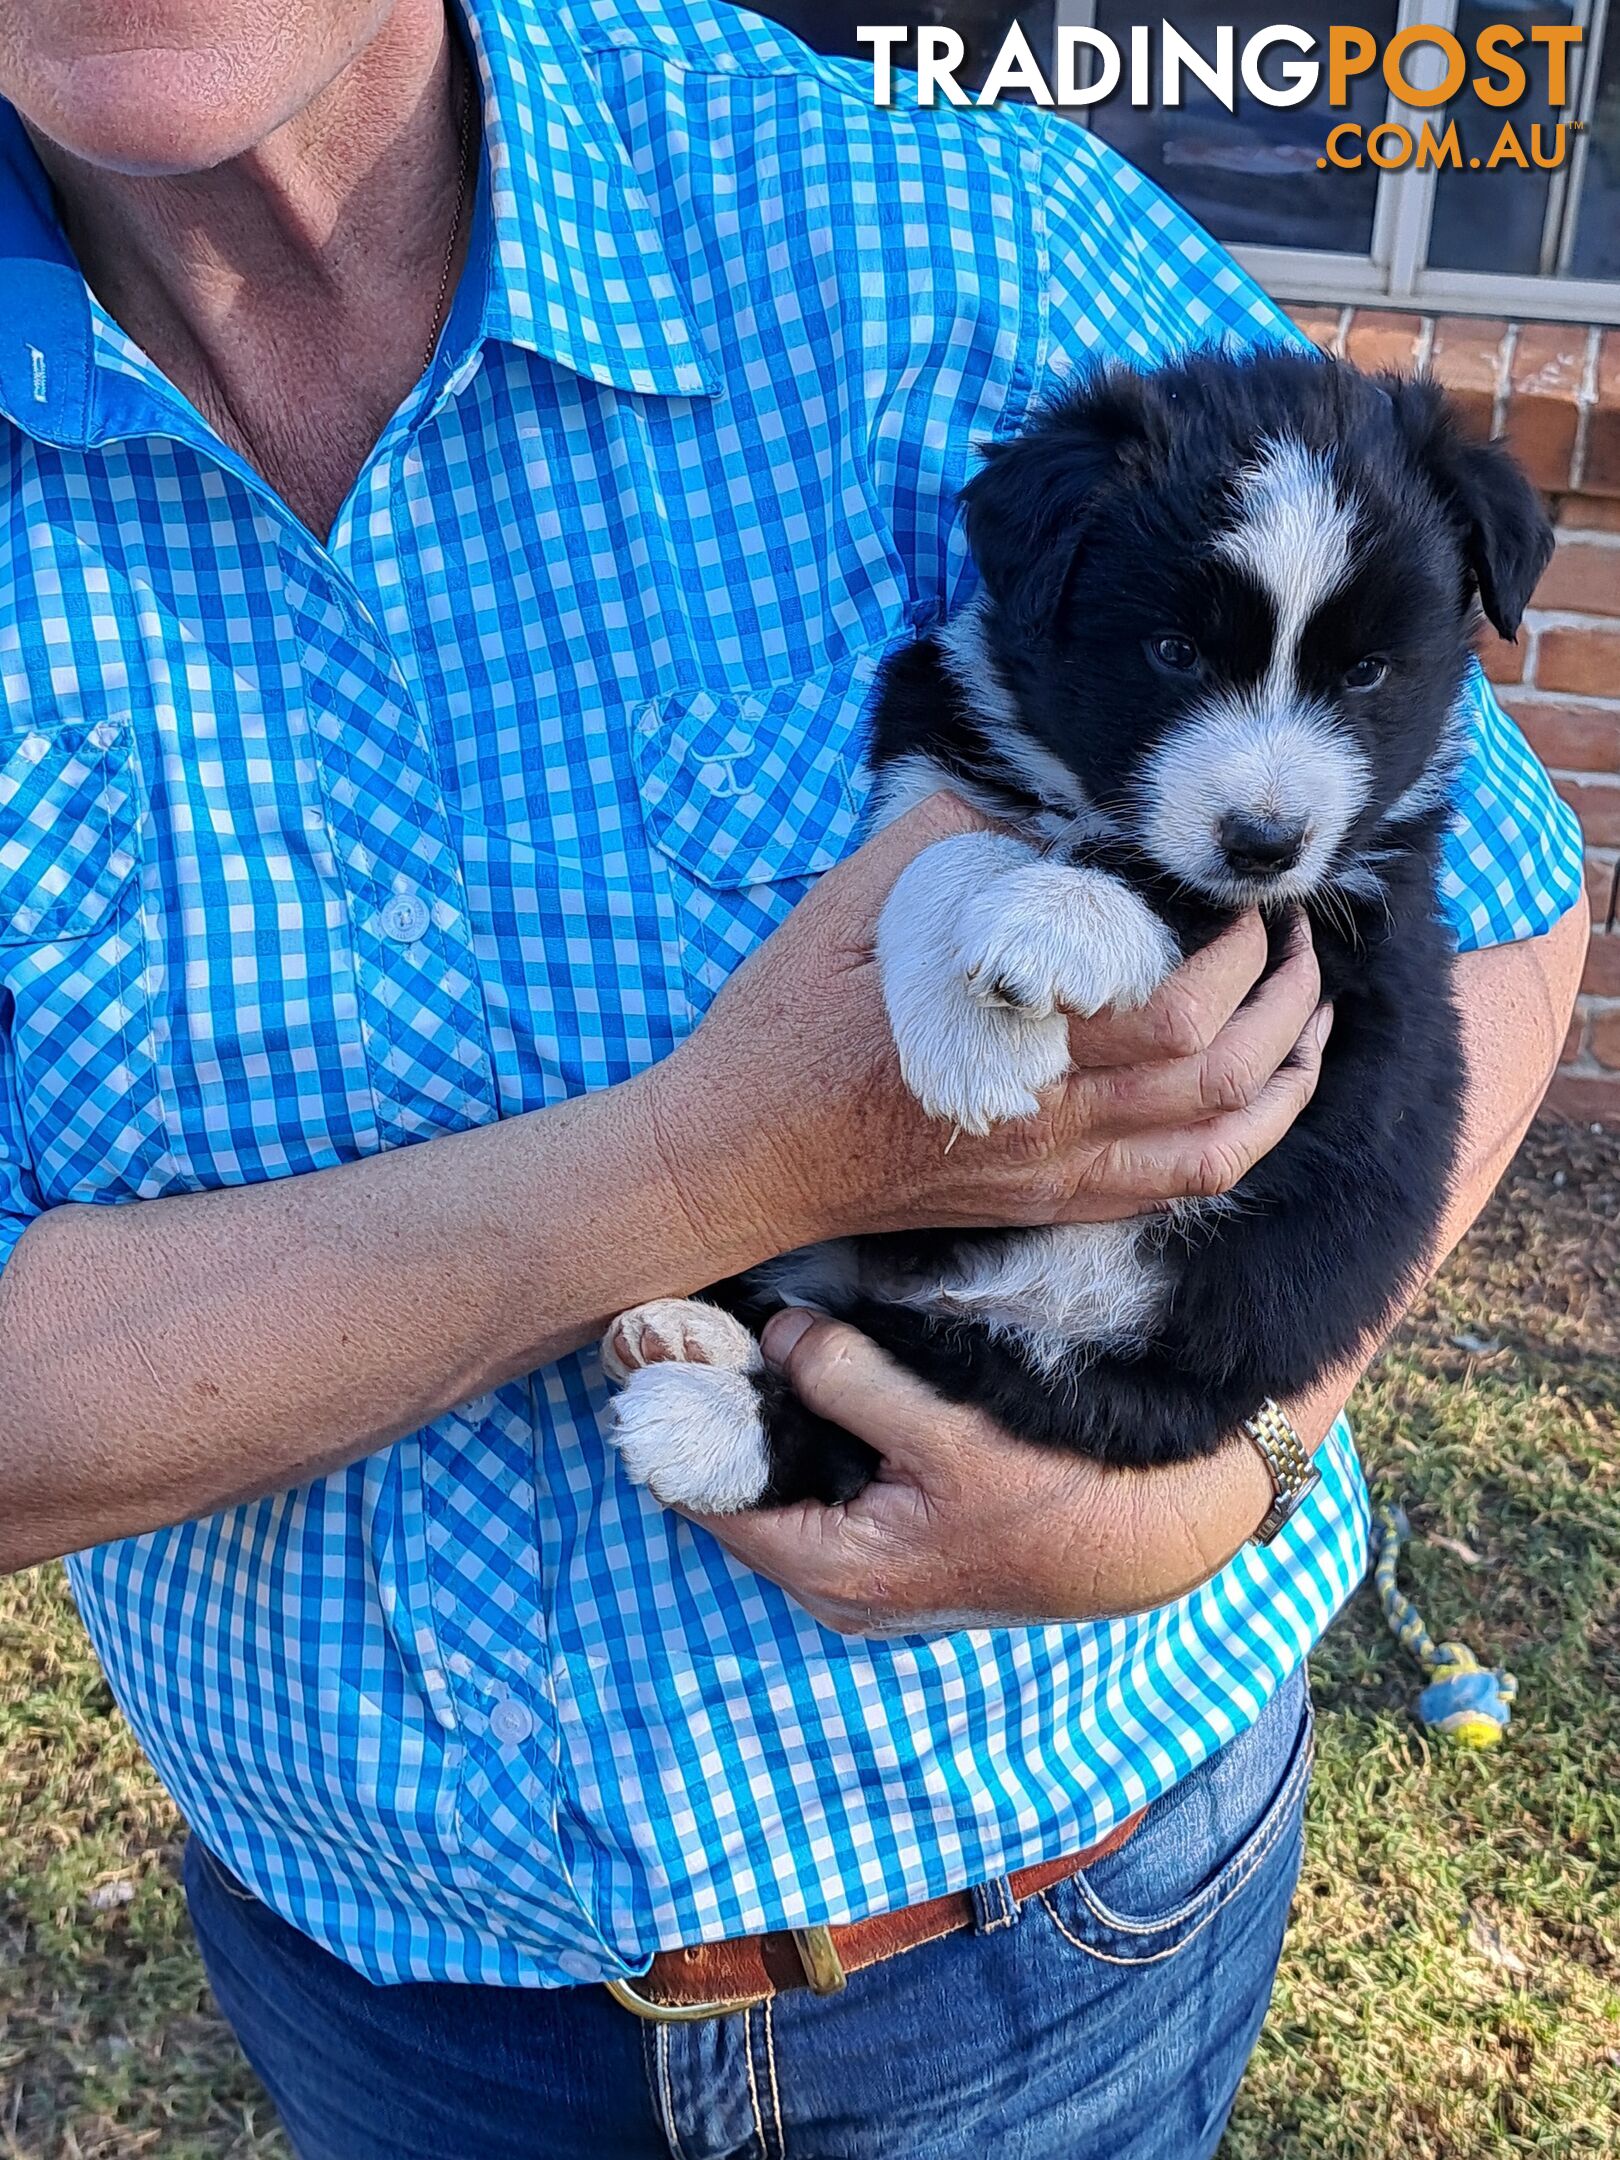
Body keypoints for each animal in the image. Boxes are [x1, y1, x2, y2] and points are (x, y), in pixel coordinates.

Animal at [604, 345, 1555, 1512]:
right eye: (1173, 651)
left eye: (1367, 673)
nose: (1262, 840)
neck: (1073, 792)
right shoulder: (936, 764)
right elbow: (943, 856)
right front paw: (968, 1031)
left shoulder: (1340, 926)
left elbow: (1172, 884)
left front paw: (1044, 938)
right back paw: (692, 1343)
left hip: (1111, 1369)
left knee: (910, 1381)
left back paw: (702, 1415)